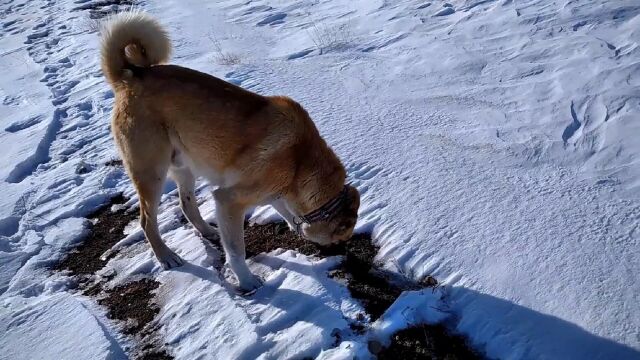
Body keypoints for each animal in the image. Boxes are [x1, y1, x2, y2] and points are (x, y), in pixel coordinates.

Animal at [100, 11, 360, 292]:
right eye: (340, 237)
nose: (342, 253)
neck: (300, 161)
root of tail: (129, 77)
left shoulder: (273, 191)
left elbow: (284, 209)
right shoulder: (228, 201)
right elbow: (236, 251)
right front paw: (247, 281)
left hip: (184, 167)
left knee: (186, 204)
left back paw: (207, 231)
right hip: (152, 174)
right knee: (147, 221)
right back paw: (166, 256)